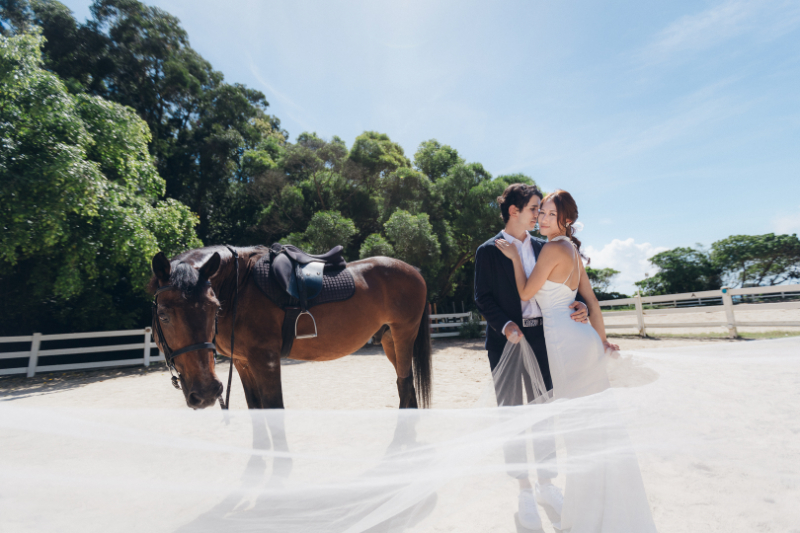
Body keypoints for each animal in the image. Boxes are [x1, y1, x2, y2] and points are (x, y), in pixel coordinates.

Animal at [149, 243, 432, 410]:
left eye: (213, 308)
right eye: (163, 315)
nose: (207, 393)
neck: (239, 286)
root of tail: (414, 270)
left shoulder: (266, 360)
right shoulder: (242, 362)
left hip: (404, 334)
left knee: (405, 384)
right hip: (389, 340)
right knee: (406, 385)